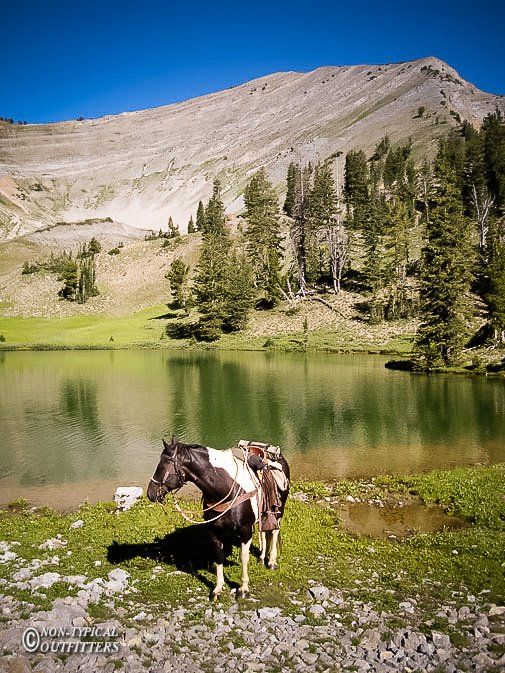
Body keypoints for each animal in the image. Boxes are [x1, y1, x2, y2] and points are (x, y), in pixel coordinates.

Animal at [147, 437, 290, 600]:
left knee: (274, 531)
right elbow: (219, 557)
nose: (150, 493)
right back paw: (261, 558)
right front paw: (218, 589)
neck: (225, 488)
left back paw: (271, 561)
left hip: (279, 511)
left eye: (162, 466)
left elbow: (244, 557)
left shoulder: (246, 530)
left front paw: (244, 589)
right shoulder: (214, 531)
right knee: (265, 533)